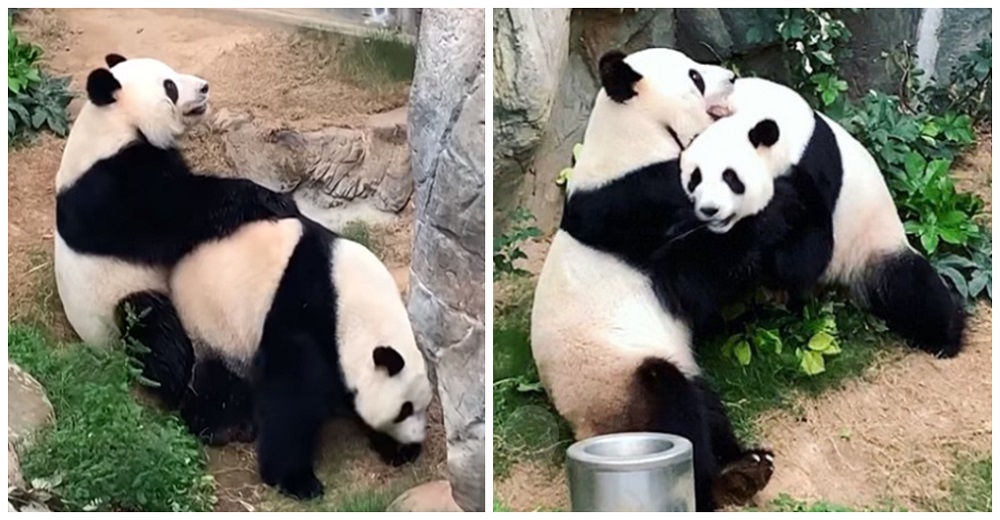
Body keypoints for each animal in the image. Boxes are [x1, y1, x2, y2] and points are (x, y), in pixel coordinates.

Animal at [53, 53, 296, 406]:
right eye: (169, 87)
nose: (204, 87)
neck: (112, 125)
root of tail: (101, 352)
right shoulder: (110, 187)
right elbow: (178, 215)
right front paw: (273, 199)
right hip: (118, 305)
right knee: (155, 333)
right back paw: (189, 385)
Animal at [165, 216, 434, 500]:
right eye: (404, 410)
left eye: (422, 407)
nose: (414, 440)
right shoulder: (302, 315)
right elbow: (291, 396)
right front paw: (298, 480)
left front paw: (397, 449)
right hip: (214, 323)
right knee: (218, 380)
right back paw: (222, 426)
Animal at [532, 46, 772, 510]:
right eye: (695, 77)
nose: (732, 77)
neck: (635, 135)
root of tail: (583, 430)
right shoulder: (638, 205)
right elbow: (697, 278)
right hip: (615, 381)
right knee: (671, 403)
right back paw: (719, 482)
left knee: (705, 403)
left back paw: (747, 462)